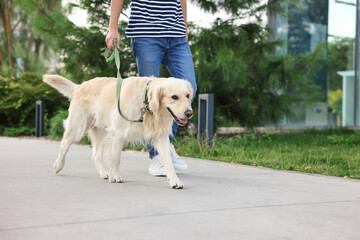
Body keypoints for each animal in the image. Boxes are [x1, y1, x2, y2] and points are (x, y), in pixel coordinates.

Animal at [43, 75, 194, 189]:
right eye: (174, 97)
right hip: (77, 127)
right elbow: (116, 158)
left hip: (100, 132)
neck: (146, 103)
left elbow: (168, 162)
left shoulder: (161, 136)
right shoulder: (118, 133)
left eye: (187, 95)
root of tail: (80, 85)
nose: (189, 113)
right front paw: (115, 176)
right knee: (64, 146)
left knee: (96, 155)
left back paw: (104, 173)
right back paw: (58, 166)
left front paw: (175, 181)